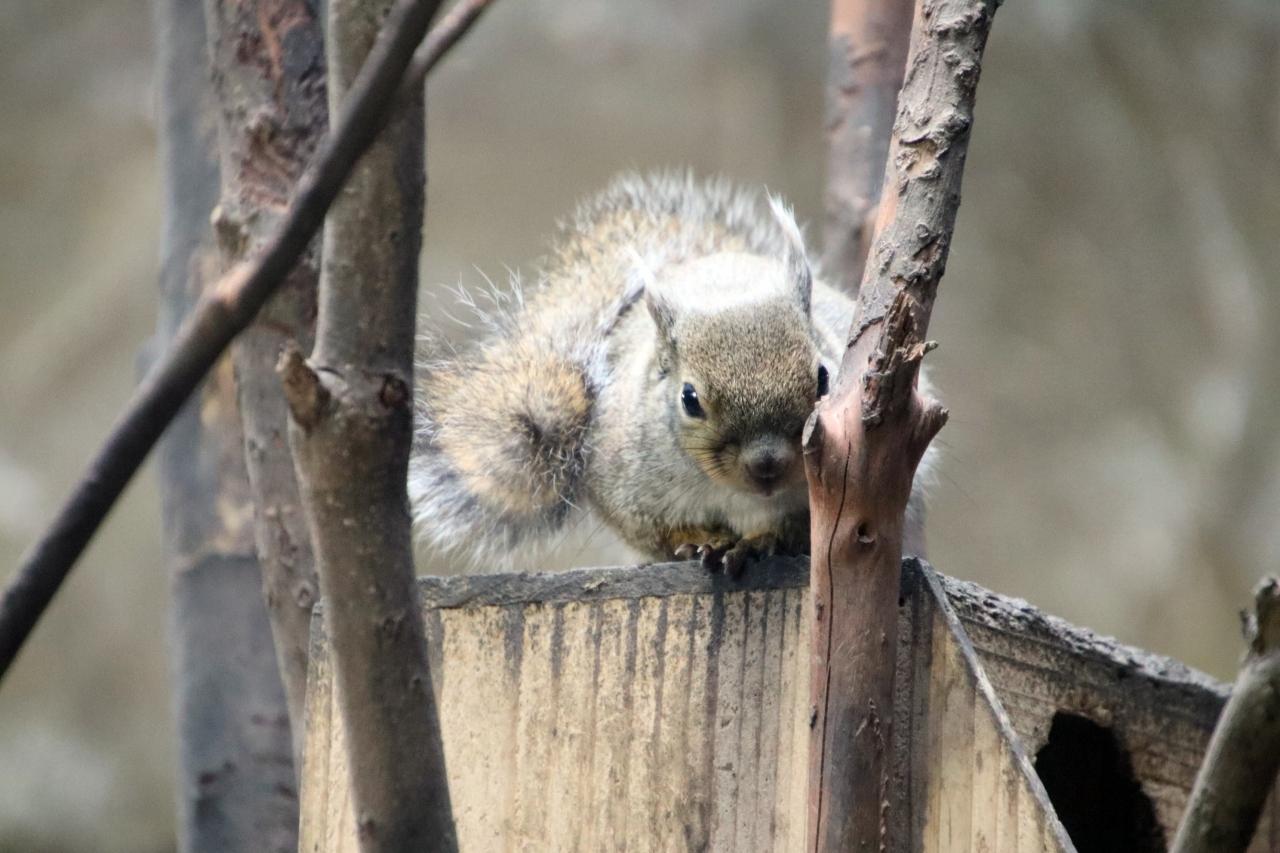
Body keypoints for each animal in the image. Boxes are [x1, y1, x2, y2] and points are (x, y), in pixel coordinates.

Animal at [410, 171, 929, 575]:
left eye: (823, 378)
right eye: (689, 399)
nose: (766, 464)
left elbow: (800, 531)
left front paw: (761, 542)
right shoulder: (624, 488)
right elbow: (656, 531)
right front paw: (702, 539)